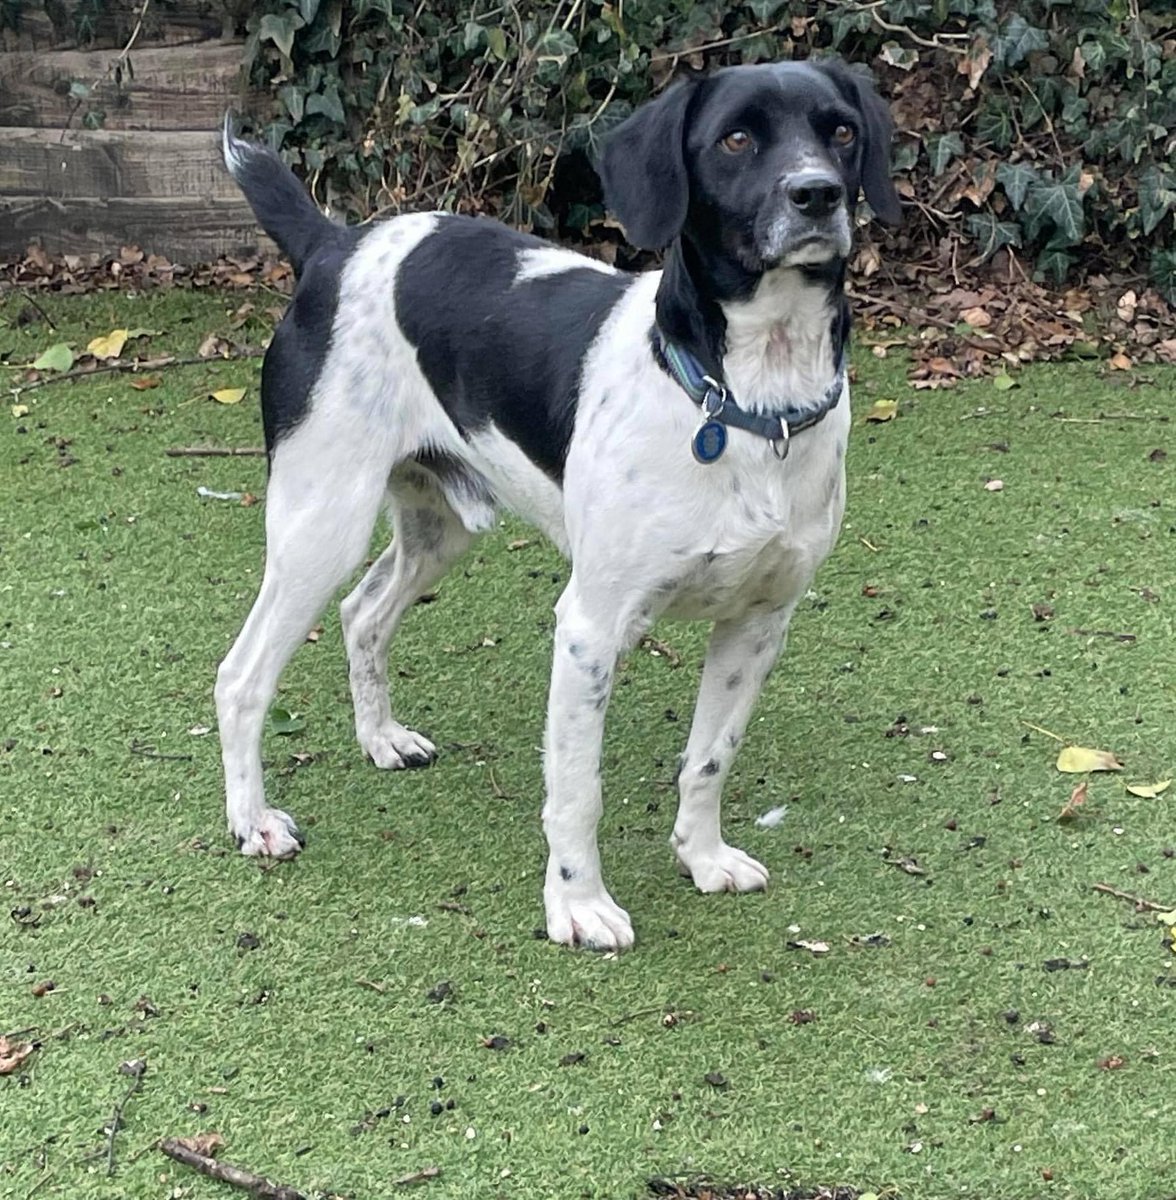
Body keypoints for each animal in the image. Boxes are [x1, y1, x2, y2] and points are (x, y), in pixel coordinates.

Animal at [218, 60, 902, 950]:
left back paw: (381, 739)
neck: (750, 399)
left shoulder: (758, 623)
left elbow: (709, 758)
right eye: (736, 139)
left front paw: (702, 856)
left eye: (841, 131)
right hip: (319, 522)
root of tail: (336, 245)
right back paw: (253, 821)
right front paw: (578, 906)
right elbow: (579, 789)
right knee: (241, 676)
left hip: (437, 525)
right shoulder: (590, 627)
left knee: (363, 612)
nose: (815, 193)